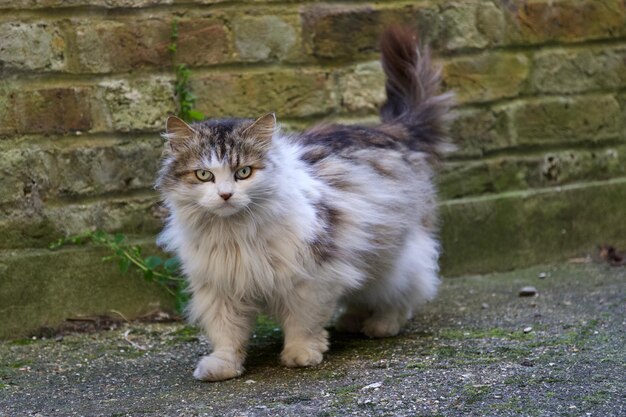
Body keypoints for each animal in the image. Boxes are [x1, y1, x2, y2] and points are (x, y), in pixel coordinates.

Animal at [154, 27, 450, 380]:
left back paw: (381, 324)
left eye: (243, 172)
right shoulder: (220, 286)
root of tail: (388, 130)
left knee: (405, 291)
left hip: (395, 255)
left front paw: (301, 354)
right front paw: (222, 366)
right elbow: (226, 332)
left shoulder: (313, 276)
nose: (226, 195)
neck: (235, 234)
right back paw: (351, 321)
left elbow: (302, 321)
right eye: (203, 175)